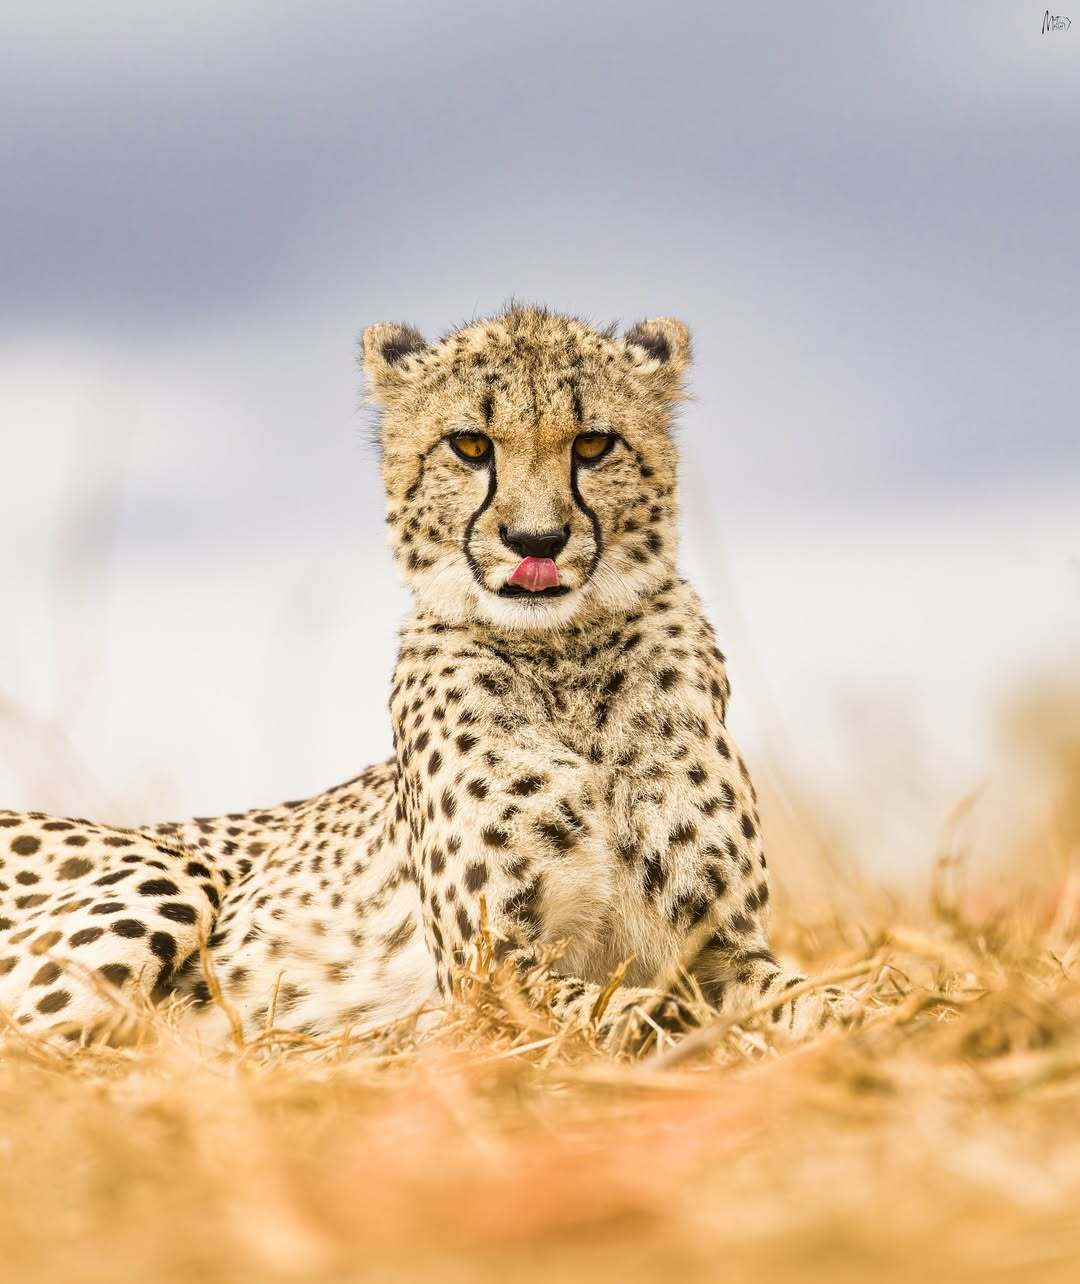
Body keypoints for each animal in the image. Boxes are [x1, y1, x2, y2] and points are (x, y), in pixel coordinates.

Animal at [0, 304, 852, 1052]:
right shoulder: (487, 969)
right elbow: (597, 1004)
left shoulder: (724, 947)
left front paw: (850, 1011)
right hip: (165, 873)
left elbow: (813, 995)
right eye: (470, 446)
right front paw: (645, 1020)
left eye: (594, 444)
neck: (567, 663)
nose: (536, 541)